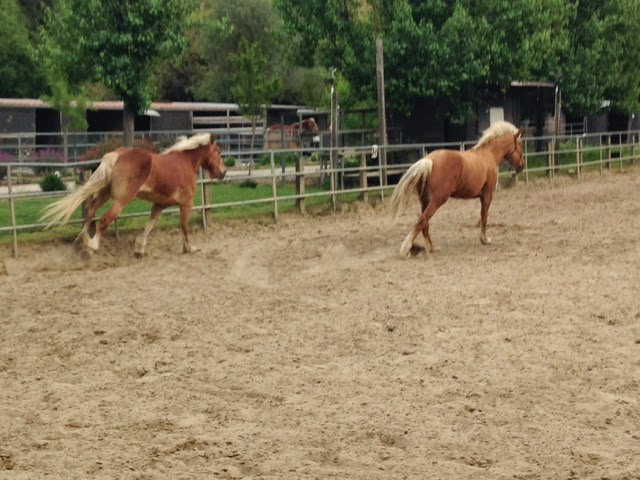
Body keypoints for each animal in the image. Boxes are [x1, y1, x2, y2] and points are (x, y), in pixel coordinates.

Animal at [41, 133, 226, 257]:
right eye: (218, 152)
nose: (223, 172)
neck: (185, 163)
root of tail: (116, 155)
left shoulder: (159, 205)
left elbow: (149, 225)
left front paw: (139, 249)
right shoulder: (186, 204)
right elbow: (184, 226)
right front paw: (189, 248)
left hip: (106, 193)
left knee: (91, 209)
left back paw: (82, 240)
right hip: (121, 200)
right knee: (105, 219)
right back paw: (92, 246)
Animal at [389, 121, 525, 257]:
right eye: (520, 145)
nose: (522, 165)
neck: (489, 155)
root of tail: (429, 160)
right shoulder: (487, 195)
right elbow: (484, 217)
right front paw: (485, 240)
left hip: (424, 201)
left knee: (425, 224)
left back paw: (432, 247)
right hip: (437, 201)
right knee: (422, 221)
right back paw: (406, 249)